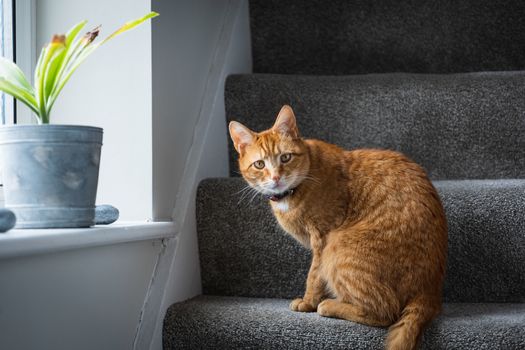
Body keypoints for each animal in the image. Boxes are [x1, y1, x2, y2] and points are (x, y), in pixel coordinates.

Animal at [229, 105, 446, 348]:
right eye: (260, 164)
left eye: (285, 158)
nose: (276, 177)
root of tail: (430, 288)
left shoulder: (322, 238)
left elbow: (314, 276)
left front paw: (308, 302)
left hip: (339, 247)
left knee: (386, 311)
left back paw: (330, 305)